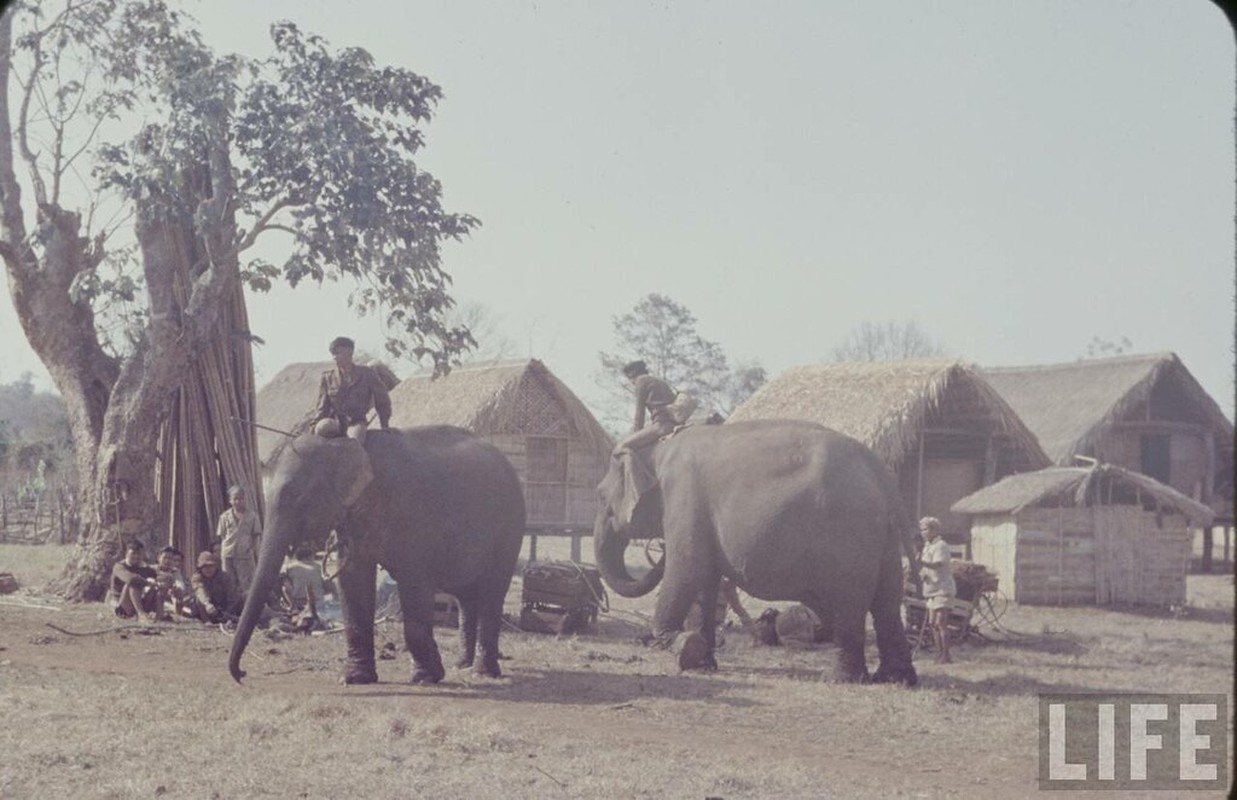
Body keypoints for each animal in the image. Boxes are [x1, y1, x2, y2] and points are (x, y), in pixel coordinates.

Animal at [230, 427, 524, 687]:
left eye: (299, 497)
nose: (242, 674)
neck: (348, 444)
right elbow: (353, 580)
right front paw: (353, 679)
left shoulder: (414, 517)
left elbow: (414, 584)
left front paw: (426, 678)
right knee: (465, 595)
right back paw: (462, 664)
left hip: (509, 528)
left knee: (492, 591)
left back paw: (483, 673)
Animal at [588, 415, 920, 687]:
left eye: (601, 496)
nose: (656, 548)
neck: (659, 447)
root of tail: (881, 471)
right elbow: (706, 580)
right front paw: (704, 663)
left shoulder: (684, 498)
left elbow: (687, 569)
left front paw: (679, 645)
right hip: (884, 538)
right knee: (886, 603)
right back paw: (896, 679)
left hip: (850, 533)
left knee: (848, 604)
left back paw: (838, 679)